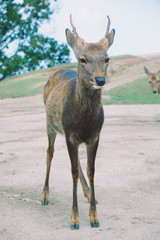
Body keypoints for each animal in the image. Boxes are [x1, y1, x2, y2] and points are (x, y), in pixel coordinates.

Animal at [41, 14, 115, 230]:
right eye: (83, 59)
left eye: (106, 58)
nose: (100, 80)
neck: (84, 121)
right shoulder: (70, 135)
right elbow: (73, 171)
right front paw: (74, 219)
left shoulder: (94, 135)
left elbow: (90, 170)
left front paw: (94, 216)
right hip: (50, 124)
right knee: (49, 153)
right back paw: (44, 195)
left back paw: (90, 194)